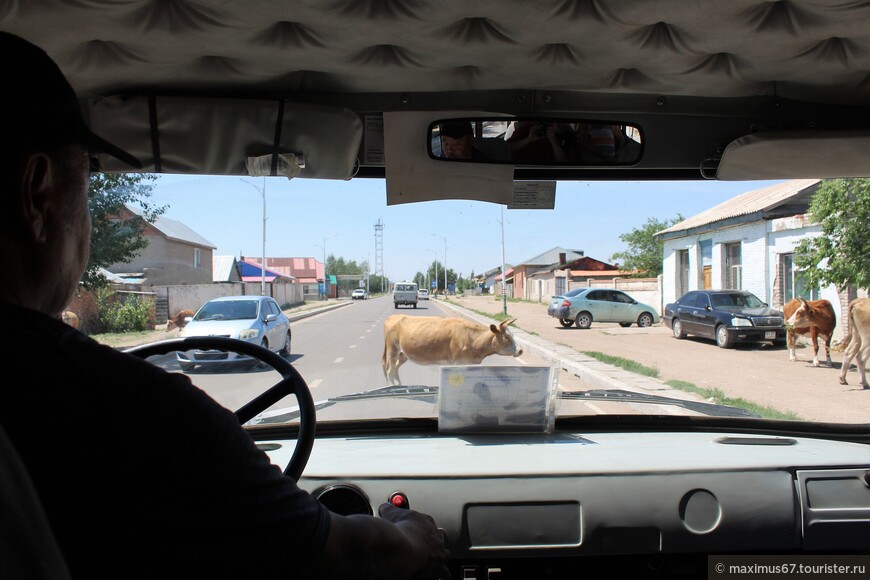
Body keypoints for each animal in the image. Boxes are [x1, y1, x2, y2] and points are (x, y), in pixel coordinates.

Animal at [384, 318, 524, 386]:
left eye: (513, 334)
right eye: (506, 337)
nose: (520, 350)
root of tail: (393, 316)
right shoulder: (457, 362)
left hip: (403, 354)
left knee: (395, 368)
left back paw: (399, 385)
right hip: (392, 350)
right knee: (390, 370)